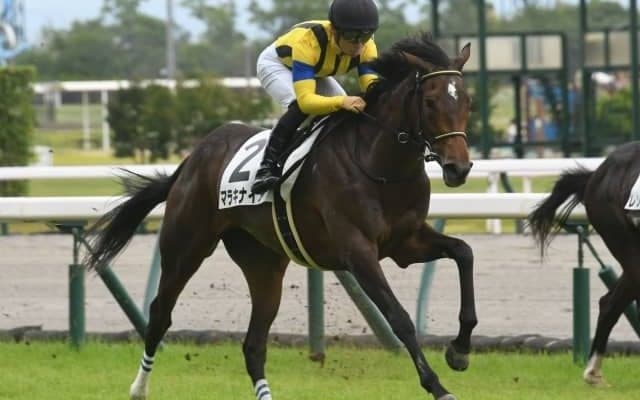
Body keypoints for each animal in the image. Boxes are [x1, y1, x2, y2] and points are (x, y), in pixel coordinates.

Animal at [86, 33, 476, 400]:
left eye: (467, 101)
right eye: (430, 102)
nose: (458, 168)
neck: (378, 164)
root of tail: (192, 158)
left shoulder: (405, 242)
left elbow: (464, 253)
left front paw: (459, 351)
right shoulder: (358, 252)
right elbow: (400, 317)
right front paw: (438, 385)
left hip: (263, 263)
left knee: (253, 345)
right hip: (185, 248)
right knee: (159, 316)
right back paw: (139, 388)